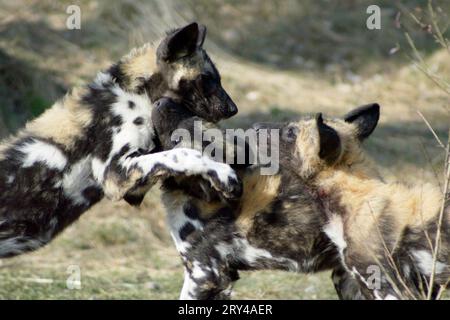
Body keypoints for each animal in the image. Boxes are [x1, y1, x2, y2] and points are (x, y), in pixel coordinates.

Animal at [0, 21, 243, 258]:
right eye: (207, 79)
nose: (233, 109)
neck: (137, 92)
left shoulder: (132, 187)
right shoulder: (115, 173)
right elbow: (183, 154)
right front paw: (223, 174)